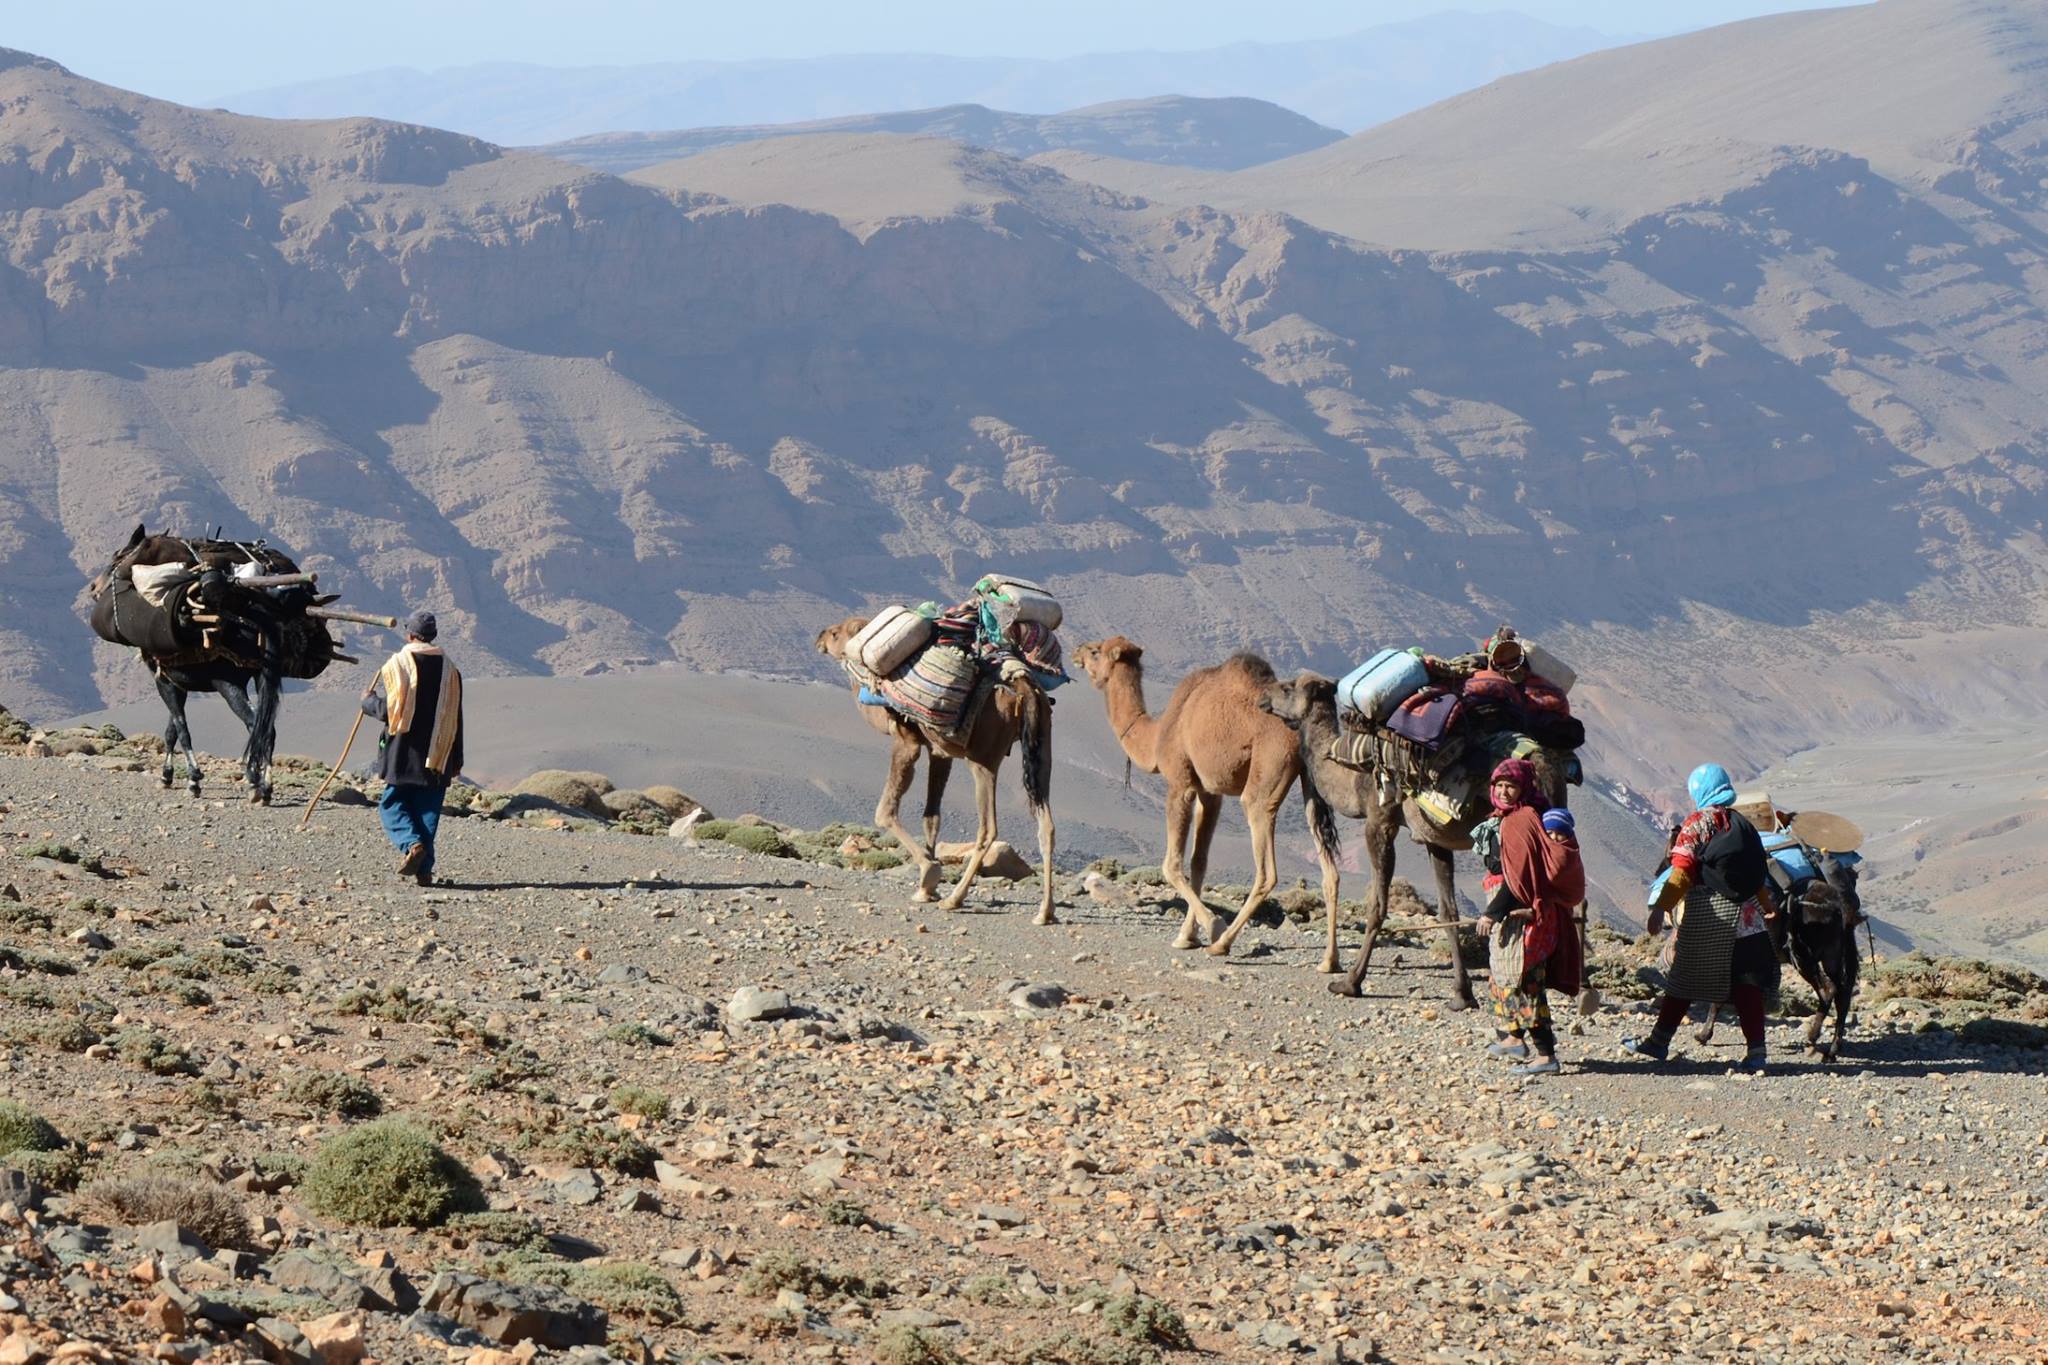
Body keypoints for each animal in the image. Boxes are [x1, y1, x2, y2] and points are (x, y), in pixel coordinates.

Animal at [811, 622, 1064, 925]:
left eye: (835, 634)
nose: (819, 638)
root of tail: (1023, 684)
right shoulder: (939, 752)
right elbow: (931, 817)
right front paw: (925, 889)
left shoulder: (907, 741)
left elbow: (885, 811)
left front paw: (929, 872)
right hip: (1042, 748)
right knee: (1047, 825)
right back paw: (1045, 912)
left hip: (984, 759)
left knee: (988, 827)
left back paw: (955, 899)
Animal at [1073, 638, 1343, 965]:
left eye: (1095, 651)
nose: (1076, 652)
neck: (1158, 734)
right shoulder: (1210, 791)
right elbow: (1198, 862)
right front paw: (1186, 937)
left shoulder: (1181, 783)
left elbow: (1172, 864)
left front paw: (1211, 925)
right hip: (1312, 784)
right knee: (1330, 870)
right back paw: (1330, 962)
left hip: (1265, 777)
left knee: (1266, 869)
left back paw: (1222, 943)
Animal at [1245, 671, 1564, 1015]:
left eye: (1287, 688)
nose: (1263, 698)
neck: (1352, 774)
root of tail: (1541, 764)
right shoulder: (1434, 837)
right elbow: (1447, 910)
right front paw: (1461, 995)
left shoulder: (1379, 821)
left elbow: (1377, 905)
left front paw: (1349, 982)